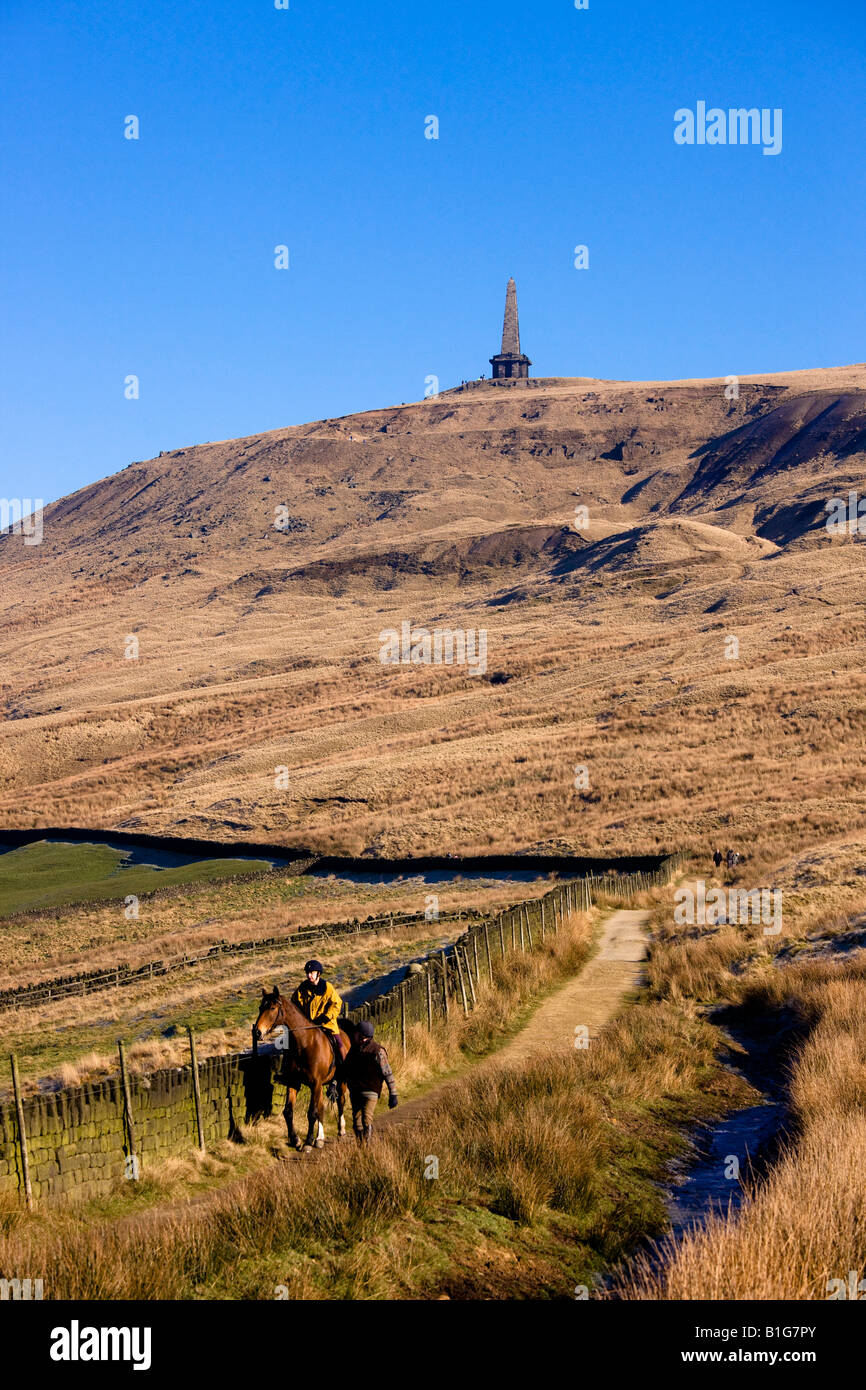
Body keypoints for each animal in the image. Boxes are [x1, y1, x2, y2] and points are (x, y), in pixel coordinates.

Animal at [250, 989, 353, 1150]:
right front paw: (295, 1139)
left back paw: (340, 1129)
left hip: (340, 1081)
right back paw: (320, 1138)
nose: (257, 1032)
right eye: (261, 1007)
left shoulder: (315, 1084)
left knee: (341, 1101)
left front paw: (308, 1141)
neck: (304, 1043)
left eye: (272, 1008)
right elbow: (288, 1111)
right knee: (321, 1108)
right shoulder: (294, 1083)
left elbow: (311, 1113)